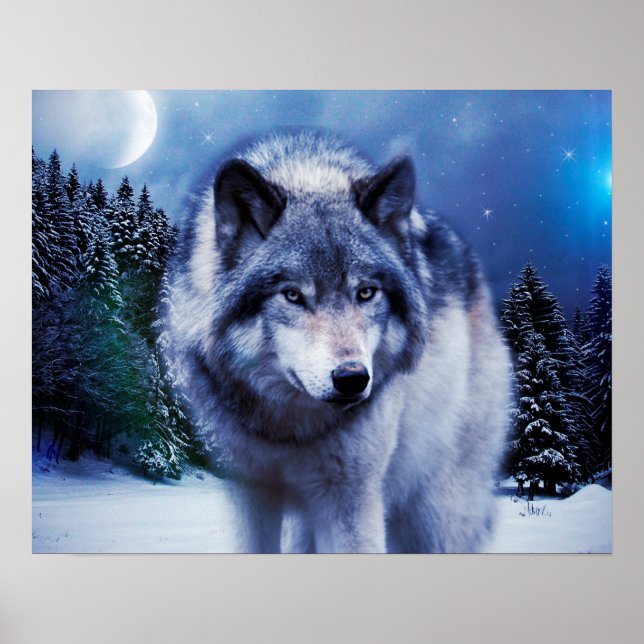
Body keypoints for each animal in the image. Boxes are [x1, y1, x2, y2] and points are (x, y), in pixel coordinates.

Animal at [168, 132, 510, 553]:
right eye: (292, 295)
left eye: (365, 292)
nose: (352, 378)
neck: (287, 429)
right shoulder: (248, 489)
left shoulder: (350, 496)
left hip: (437, 515)